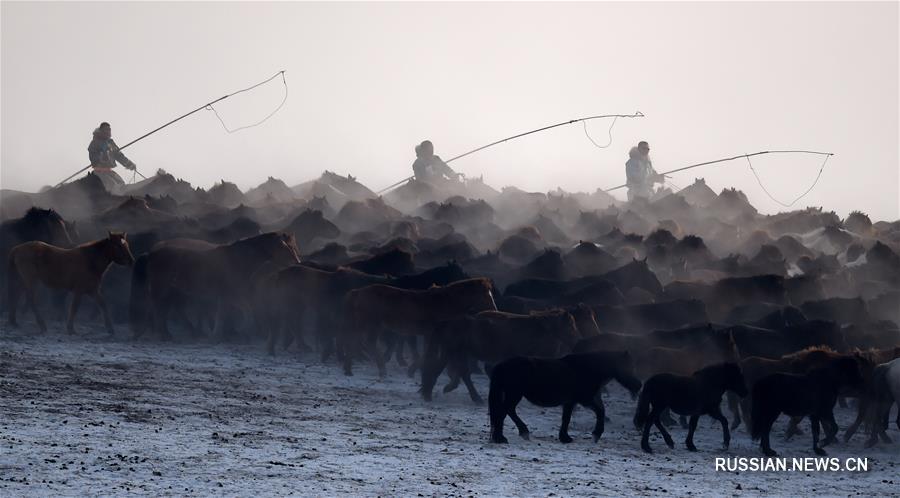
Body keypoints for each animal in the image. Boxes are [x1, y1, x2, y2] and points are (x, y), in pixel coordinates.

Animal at [6, 232, 134, 334]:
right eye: (118, 245)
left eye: (126, 244)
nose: (131, 261)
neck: (90, 261)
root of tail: (17, 248)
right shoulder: (79, 290)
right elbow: (74, 307)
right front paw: (70, 329)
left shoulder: (92, 290)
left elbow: (103, 304)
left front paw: (110, 329)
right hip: (31, 280)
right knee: (31, 300)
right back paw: (42, 325)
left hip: (23, 280)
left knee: (16, 295)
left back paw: (13, 321)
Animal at [342, 276, 496, 378]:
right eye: (485, 294)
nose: (494, 310)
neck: (445, 303)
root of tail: (358, 292)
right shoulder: (431, 334)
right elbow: (425, 353)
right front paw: (413, 370)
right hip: (371, 325)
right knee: (365, 343)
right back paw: (381, 370)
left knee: (353, 341)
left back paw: (349, 370)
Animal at [488, 350, 644, 444]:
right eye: (628, 367)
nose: (638, 385)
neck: (588, 369)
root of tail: (501, 365)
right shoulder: (585, 400)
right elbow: (600, 412)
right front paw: (596, 434)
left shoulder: (570, 402)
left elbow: (566, 418)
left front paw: (565, 437)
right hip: (514, 394)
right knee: (504, 411)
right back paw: (503, 437)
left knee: (507, 411)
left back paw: (516, 434)